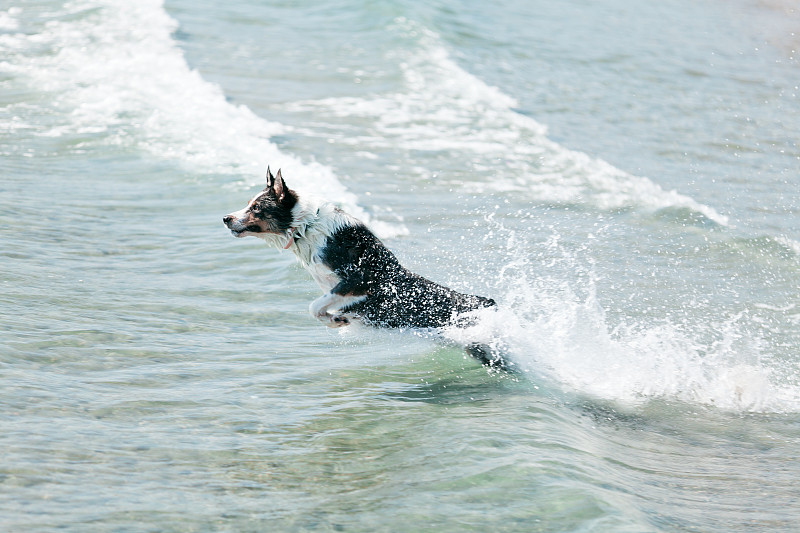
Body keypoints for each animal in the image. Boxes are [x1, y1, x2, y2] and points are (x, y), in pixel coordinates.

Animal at [220, 168, 506, 368]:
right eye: (249, 203)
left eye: (257, 207)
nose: (225, 218)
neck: (306, 227)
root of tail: (489, 303)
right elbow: (321, 310)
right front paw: (336, 320)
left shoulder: (358, 279)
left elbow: (314, 306)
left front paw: (335, 319)